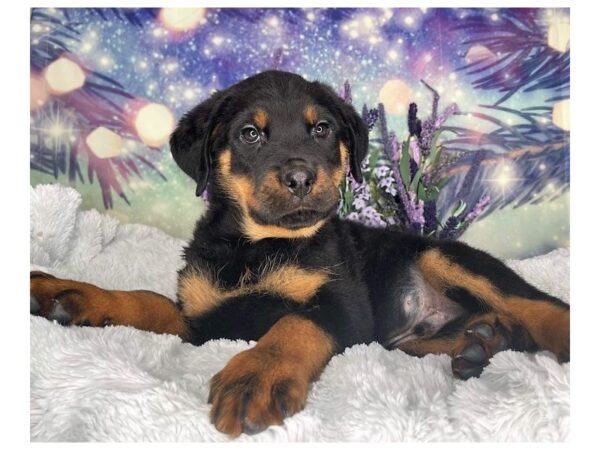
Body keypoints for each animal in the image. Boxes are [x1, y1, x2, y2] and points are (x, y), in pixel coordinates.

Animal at [30, 70, 568, 436]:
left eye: (322, 129)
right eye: (249, 133)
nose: (300, 178)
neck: (257, 245)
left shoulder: (344, 305)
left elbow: (294, 323)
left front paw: (256, 376)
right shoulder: (203, 321)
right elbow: (148, 300)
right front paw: (66, 293)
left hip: (442, 258)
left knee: (535, 304)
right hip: (406, 335)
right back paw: (482, 342)